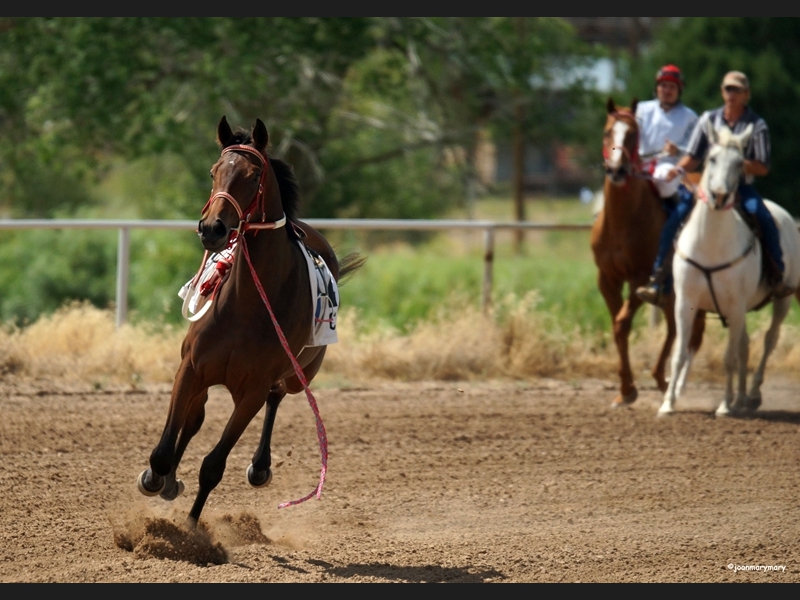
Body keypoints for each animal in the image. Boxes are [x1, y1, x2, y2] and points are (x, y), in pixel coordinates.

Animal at [137, 115, 366, 524]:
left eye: (253, 175)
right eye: (214, 171)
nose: (212, 228)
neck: (245, 304)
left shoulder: (253, 390)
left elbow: (213, 465)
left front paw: (192, 528)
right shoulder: (191, 368)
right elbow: (166, 448)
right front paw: (156, 479)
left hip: (300, 375)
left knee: (278, 396)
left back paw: (260, 467)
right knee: (194, 418)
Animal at [592, 98, 704, 408]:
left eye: (632, 134)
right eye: (607, 132)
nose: (617, 170)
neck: (623, 219)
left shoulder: (642, 279)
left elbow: (621, 324)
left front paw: (629, 389)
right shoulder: (607, 278)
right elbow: (618, 326)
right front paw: (625, 389)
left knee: (689, 332)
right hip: (672, 292)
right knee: (676, 328)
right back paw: (661, 378)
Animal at [656, 124, 800, 418]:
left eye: (739, 163)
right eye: (711, 158)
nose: (720, 195)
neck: (710, 243)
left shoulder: (735, 305)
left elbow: (728, 358)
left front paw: (723, 406)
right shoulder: (686, 303)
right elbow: (679, 354)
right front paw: (668, 403)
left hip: (782, 300)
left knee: (768, 341)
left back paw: (752, 395)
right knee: (744, 346)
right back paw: (740, 398)